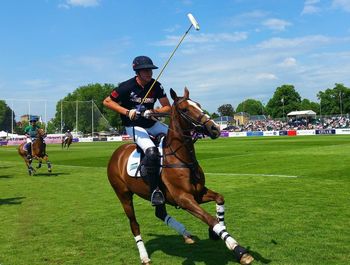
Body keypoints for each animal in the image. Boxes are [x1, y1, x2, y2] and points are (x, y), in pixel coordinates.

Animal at [107, 87, 254, 262]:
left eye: (198, 105)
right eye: (185, 109)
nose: (215, 129)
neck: (182, 159)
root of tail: (117, 153)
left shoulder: (198, 193)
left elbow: (219, 199)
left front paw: (216, 232)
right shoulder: (184, 198)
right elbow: (210, 218)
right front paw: (238, 249)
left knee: (160, 213)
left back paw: (186, 234)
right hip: (123, 194)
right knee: (134, 224)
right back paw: (144, 256)